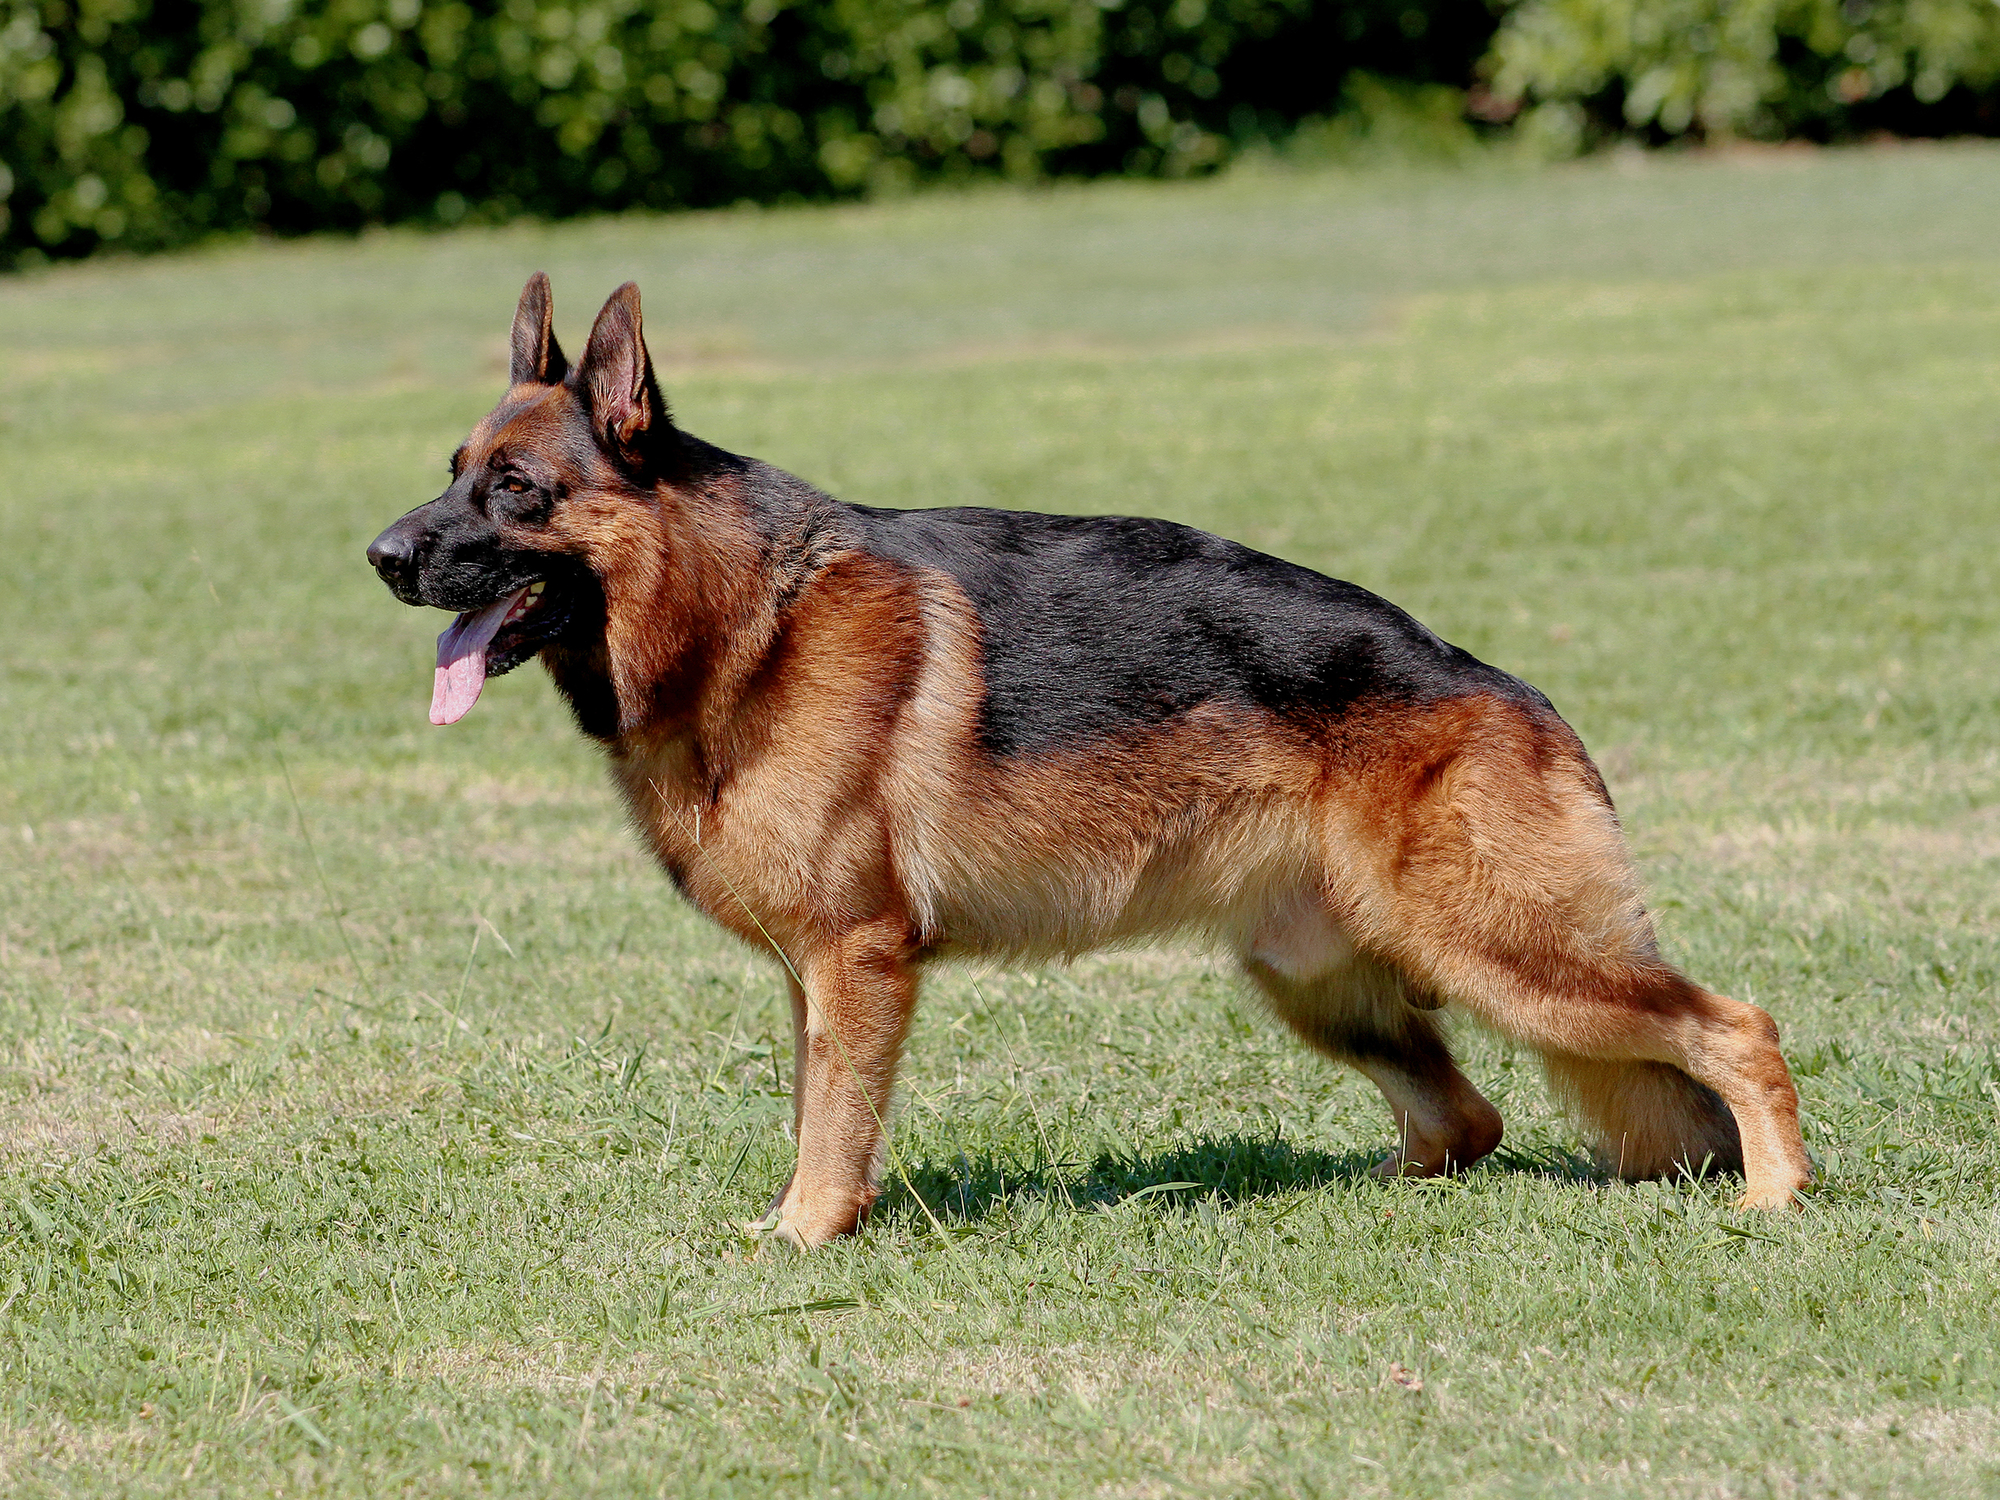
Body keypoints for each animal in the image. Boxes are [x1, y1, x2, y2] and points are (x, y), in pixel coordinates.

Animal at [364, 276, 1816, 1248]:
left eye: (514, 492)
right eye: (450, 473)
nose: (379, 555)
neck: (741, 623)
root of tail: (1510, 692)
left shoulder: (858, 961)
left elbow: (832, 1124)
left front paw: (805, 1238)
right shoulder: (813, 981)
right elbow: (816, 1106)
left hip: (1499, 952)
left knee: (1732, 1027)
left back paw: (1775, 1194)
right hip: (1321, 983)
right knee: (1467, 1122)